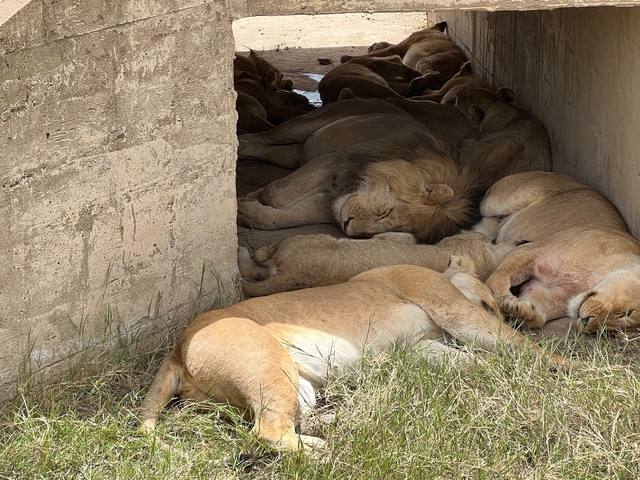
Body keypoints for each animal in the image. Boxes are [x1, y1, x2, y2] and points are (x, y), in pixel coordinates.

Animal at [140, 264, 568, 452]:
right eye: (491, 303)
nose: (503, 310)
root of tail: (177, 349)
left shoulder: (420, 346)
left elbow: (472, 362)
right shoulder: (453, 307)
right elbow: (514, 344)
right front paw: (570, 368)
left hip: (294, 379)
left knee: (298, 418)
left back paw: (355, 419)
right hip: (266, 363)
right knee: (269, 431)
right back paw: (322, 454)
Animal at [237, 131, 484, 243]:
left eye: (371, 234)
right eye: (385, 212)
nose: (347, 226)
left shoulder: (333, 202)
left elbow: (287, 216)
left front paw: (246, 209)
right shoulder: (339, 160)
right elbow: (277, 193)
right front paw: (251, 197)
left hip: (294, 154)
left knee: (269, 148)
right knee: (266, 136)